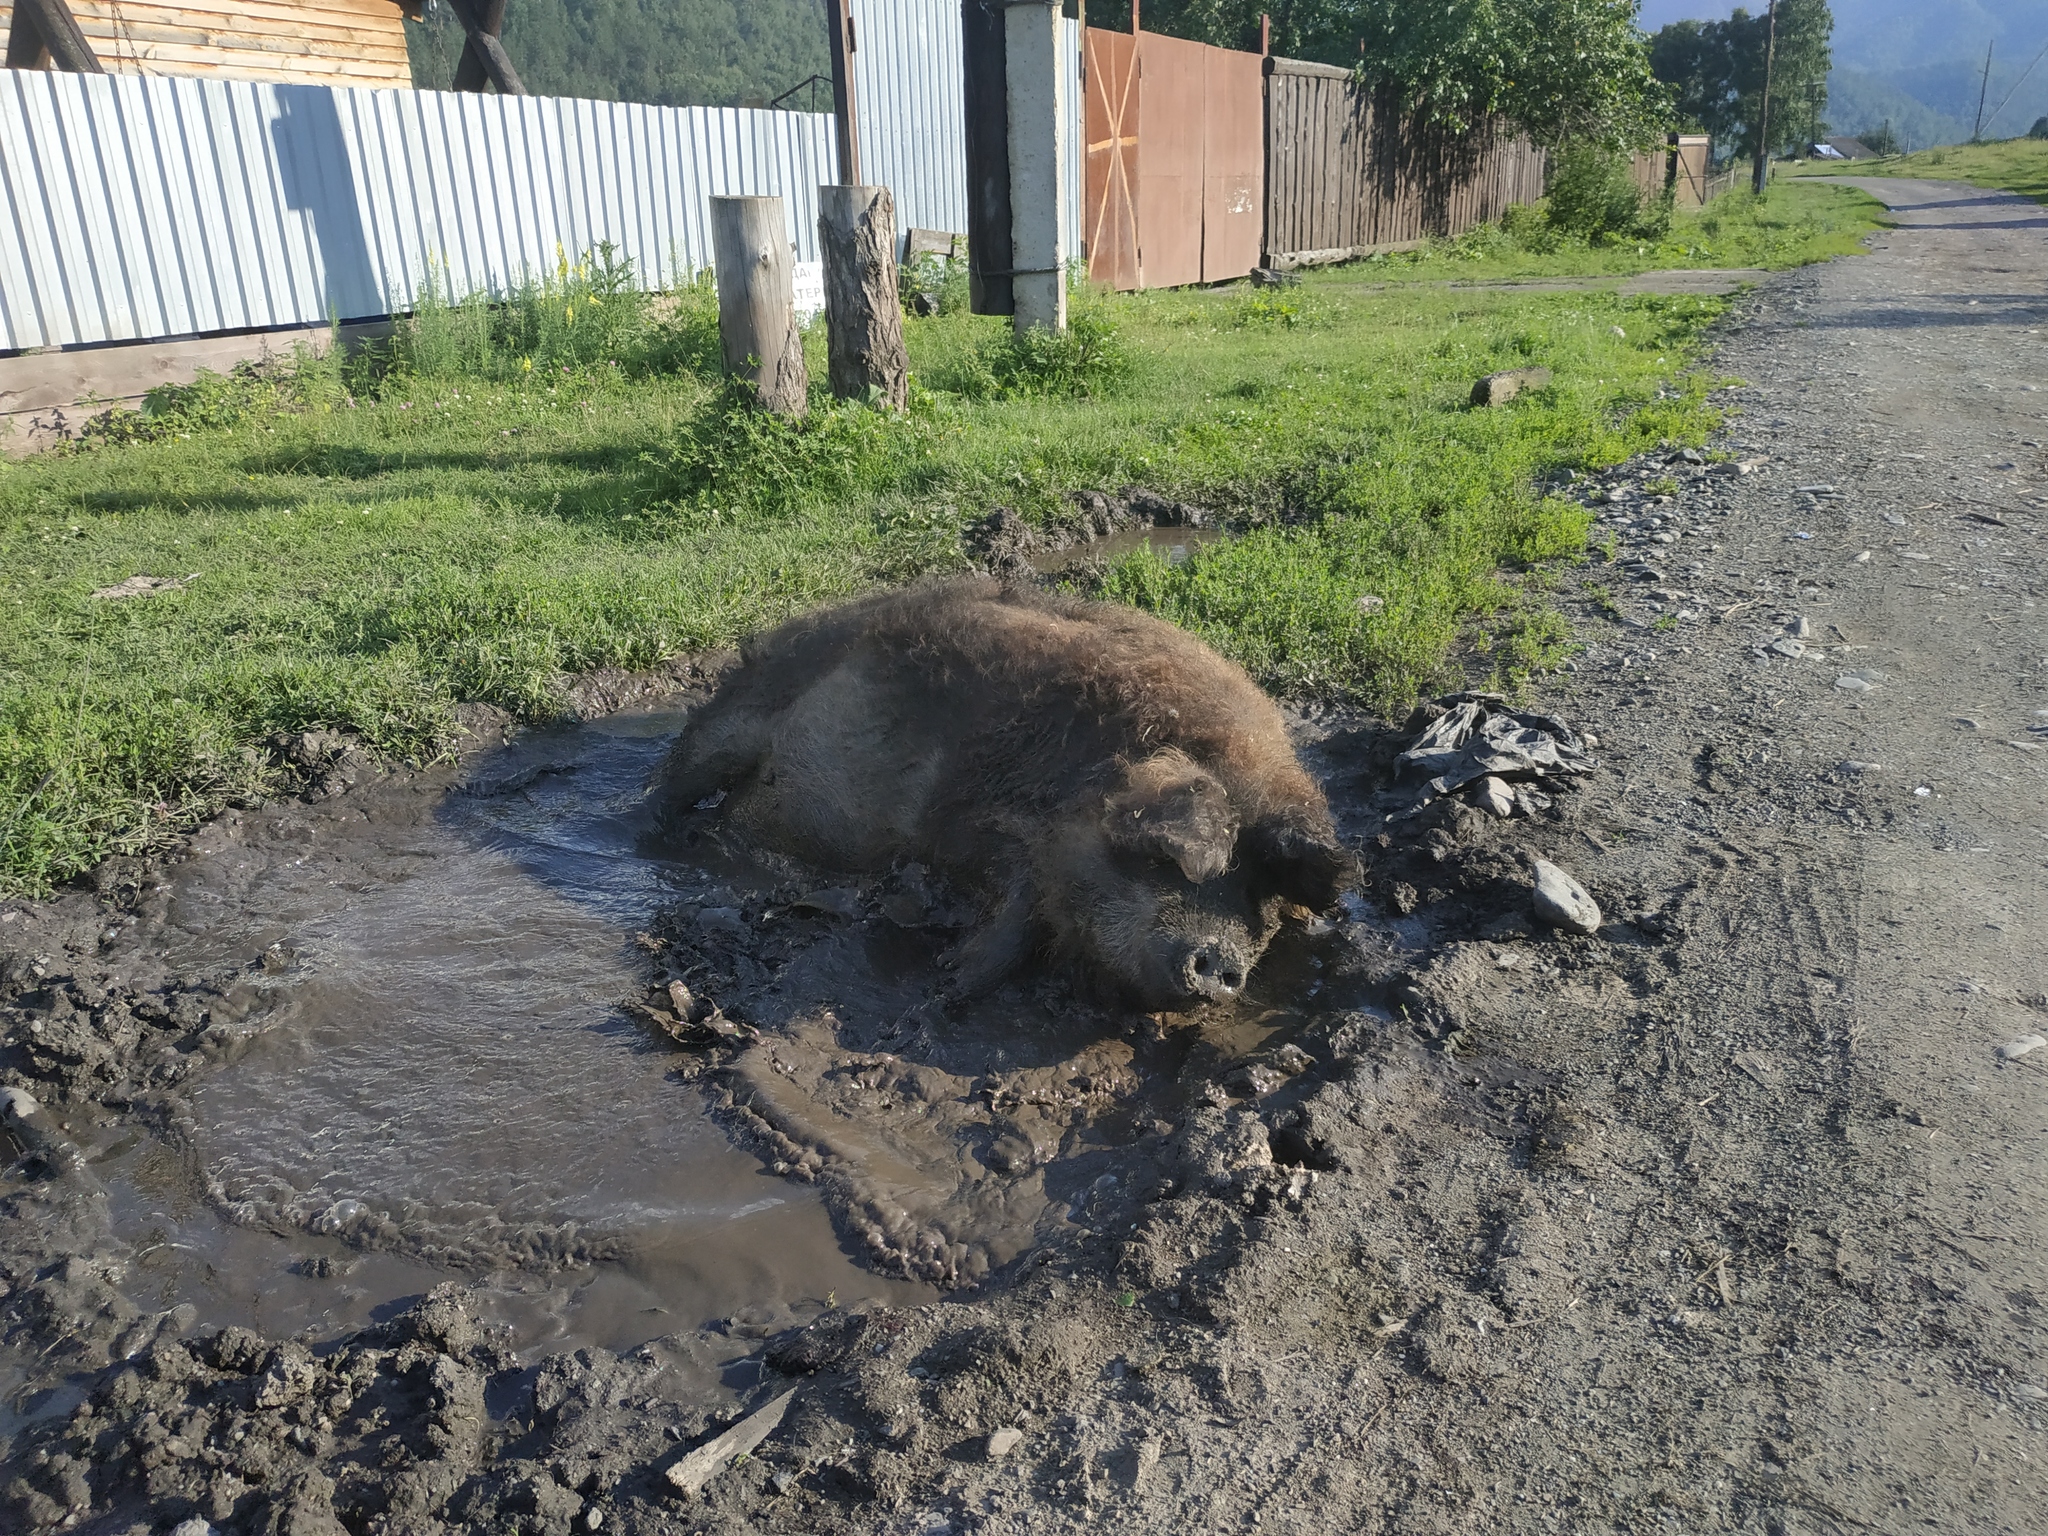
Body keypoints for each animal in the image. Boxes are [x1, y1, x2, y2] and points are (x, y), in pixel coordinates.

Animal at [651, 577, 1359, 1011]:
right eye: (1174, 863)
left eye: (1265, 898)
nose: (1221, 963)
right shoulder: (973, 821)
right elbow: (1017, 910)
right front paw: (949, 984)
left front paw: (949, 971)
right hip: (731, 722)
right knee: (665, 791)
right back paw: (675, 841)